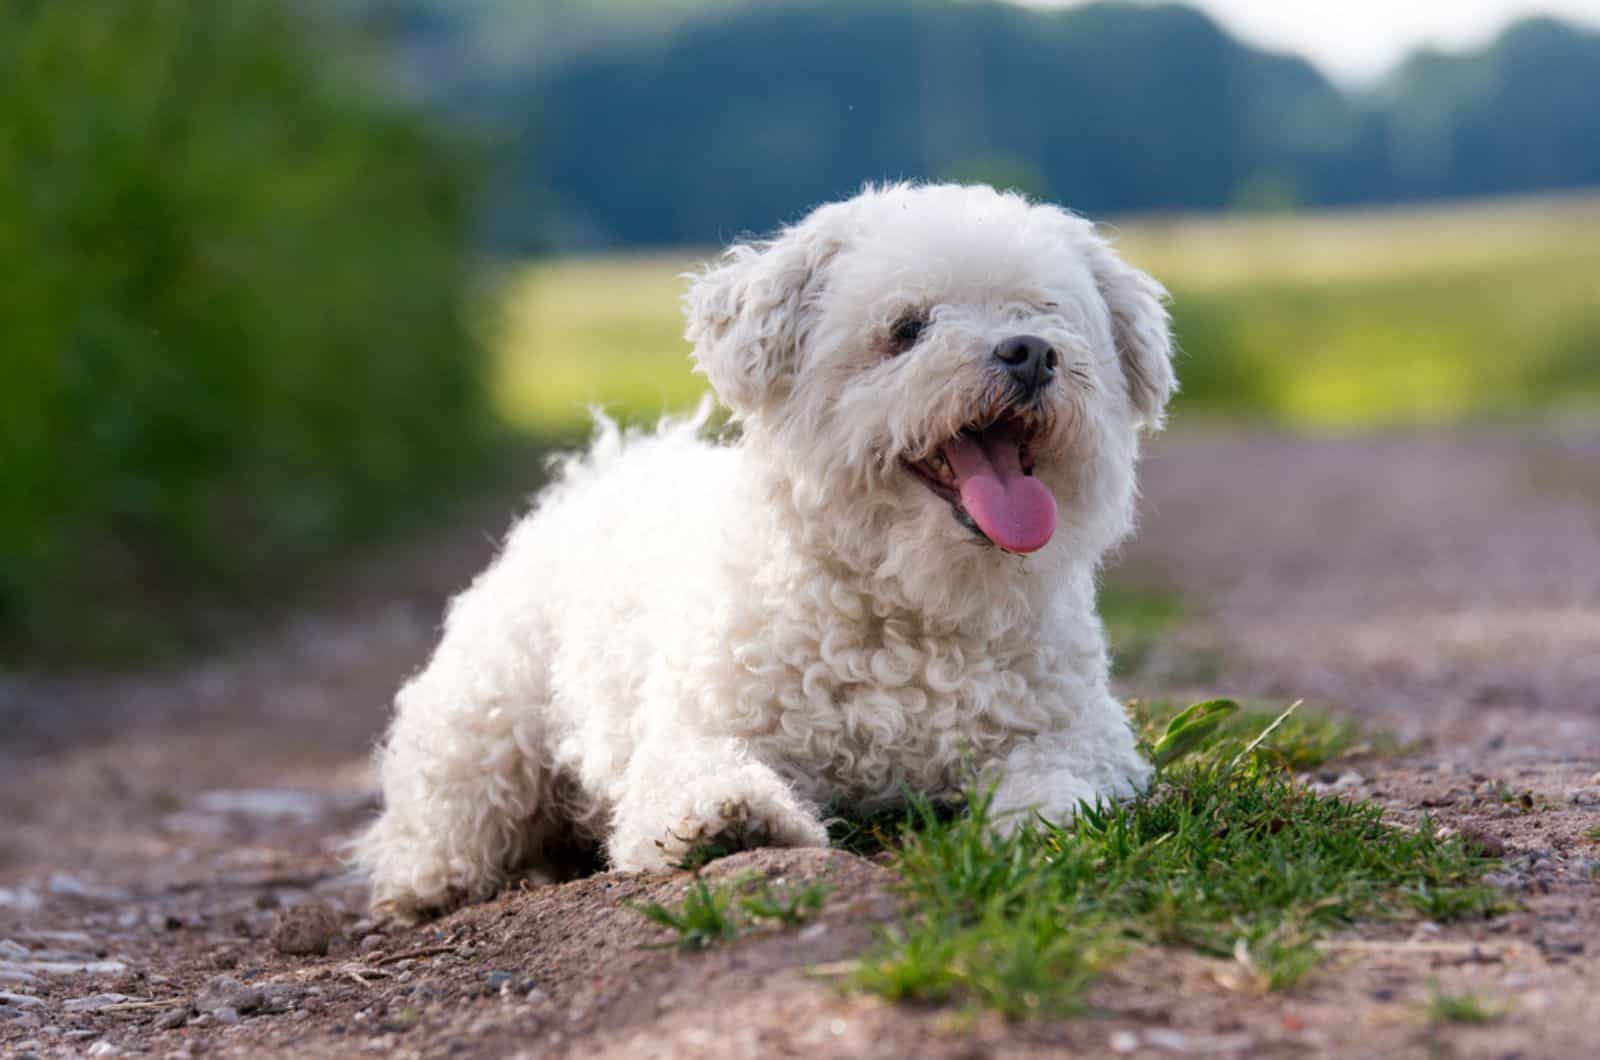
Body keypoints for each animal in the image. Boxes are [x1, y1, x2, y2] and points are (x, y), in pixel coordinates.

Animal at [356, 182, 1171, 922]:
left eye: (1045, 314)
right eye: (907, 328)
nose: (1029, 353)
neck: (910, 607)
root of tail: (604, 471)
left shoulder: (1079, 730)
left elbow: (1062, 775)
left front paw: (1046, 816)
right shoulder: (693, 730)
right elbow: (695, 775)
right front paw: (729, 816)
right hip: (486, 720)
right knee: (446, 808)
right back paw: (434, 881)